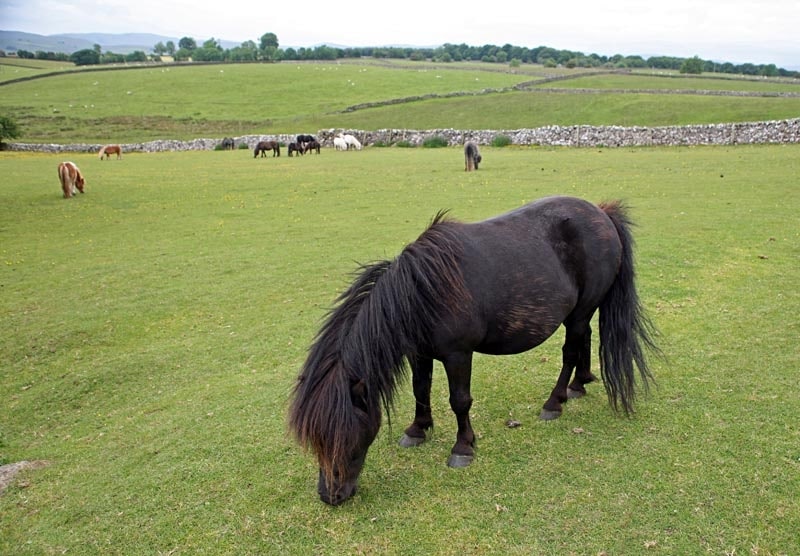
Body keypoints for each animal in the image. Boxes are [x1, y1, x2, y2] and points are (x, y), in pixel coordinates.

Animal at [290, 198, 660, 506]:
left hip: (581, 310)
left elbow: (460, 401)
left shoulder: (458, 355)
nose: (330, 495)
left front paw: (463, 447)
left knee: (570, 351)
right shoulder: (419, 353)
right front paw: (417, 430)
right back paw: (578, 386)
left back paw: (554, 402)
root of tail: (602, 213)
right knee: (583, 340)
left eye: (343, 434)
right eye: (315, 439)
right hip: (580, 313)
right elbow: (420, 390)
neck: (423, 292)